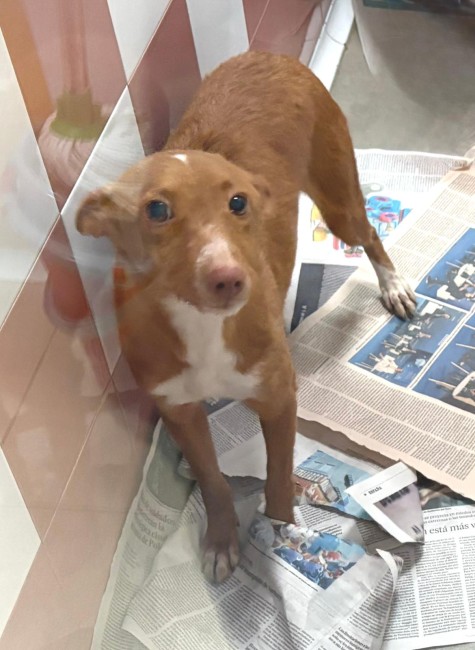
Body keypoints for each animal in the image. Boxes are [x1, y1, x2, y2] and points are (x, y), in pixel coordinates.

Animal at [76, 51, 416, 583]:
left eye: (238, 203)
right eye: (157, 209)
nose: (231, 279)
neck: (202, 329)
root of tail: (269, 56)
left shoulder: (278, 399)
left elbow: (277, 476)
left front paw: (278, 531)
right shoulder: (180, 412)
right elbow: (213, 479)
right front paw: (221, 540)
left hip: (339, 202)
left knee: (371, 236)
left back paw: (394, 286)